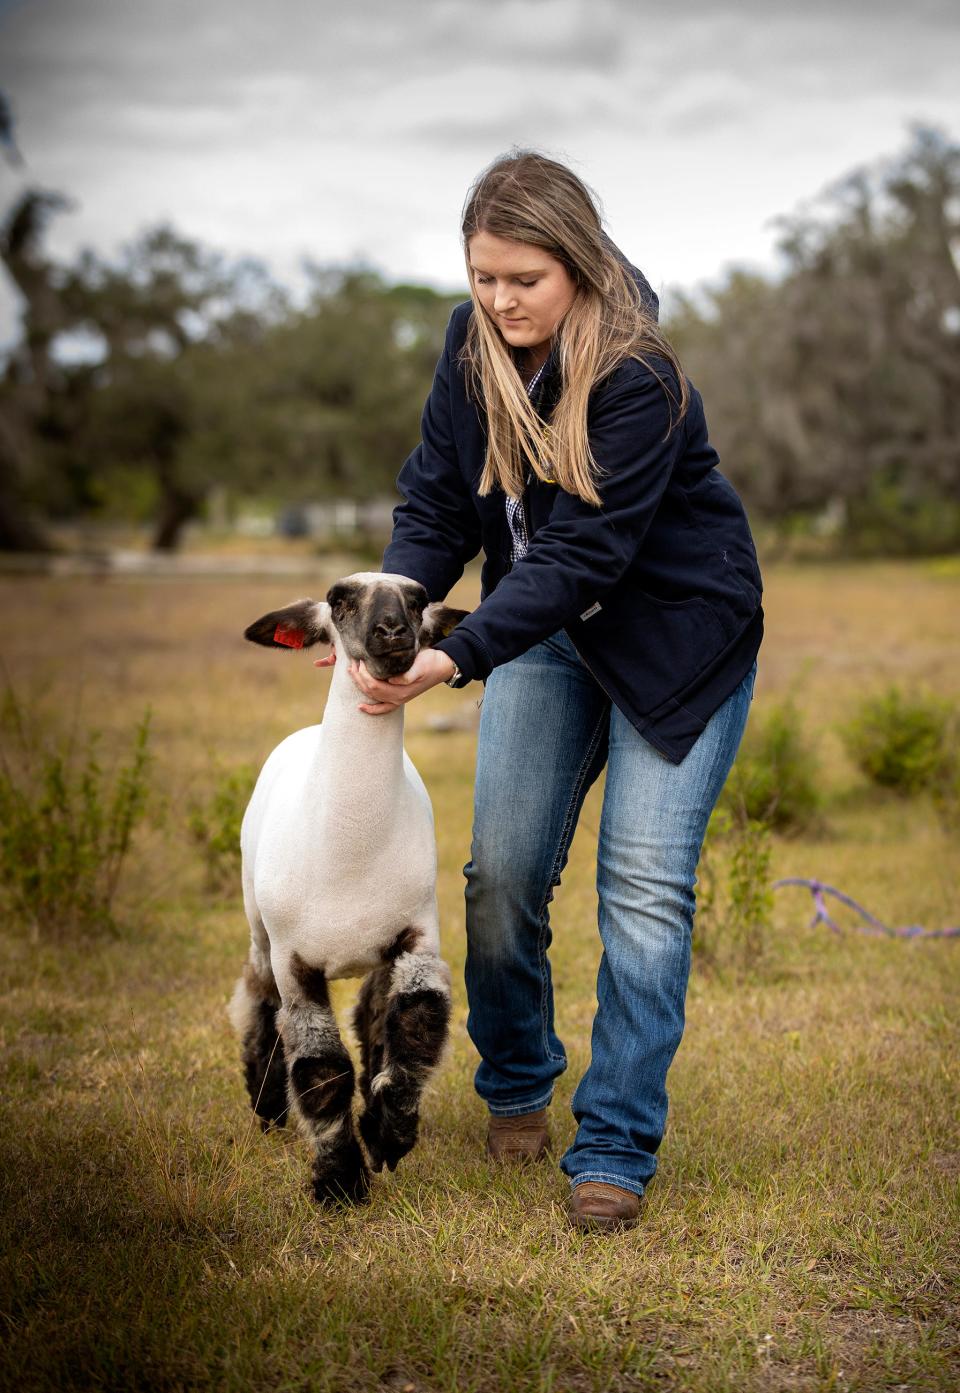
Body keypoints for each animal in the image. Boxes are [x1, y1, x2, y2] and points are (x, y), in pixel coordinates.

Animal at [225, 571, 465, 1203]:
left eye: (417, 599)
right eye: (339, 600)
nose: (393, 631)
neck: (350, 854)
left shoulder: (417, 933)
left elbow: (417, 1023)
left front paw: (387, 1135)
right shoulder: (294, 958)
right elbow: (320, 1068)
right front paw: (338, 1184)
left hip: (378, 951)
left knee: (375, 1014)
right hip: (259, 926)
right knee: (259, 1000)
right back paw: (267, 1107)